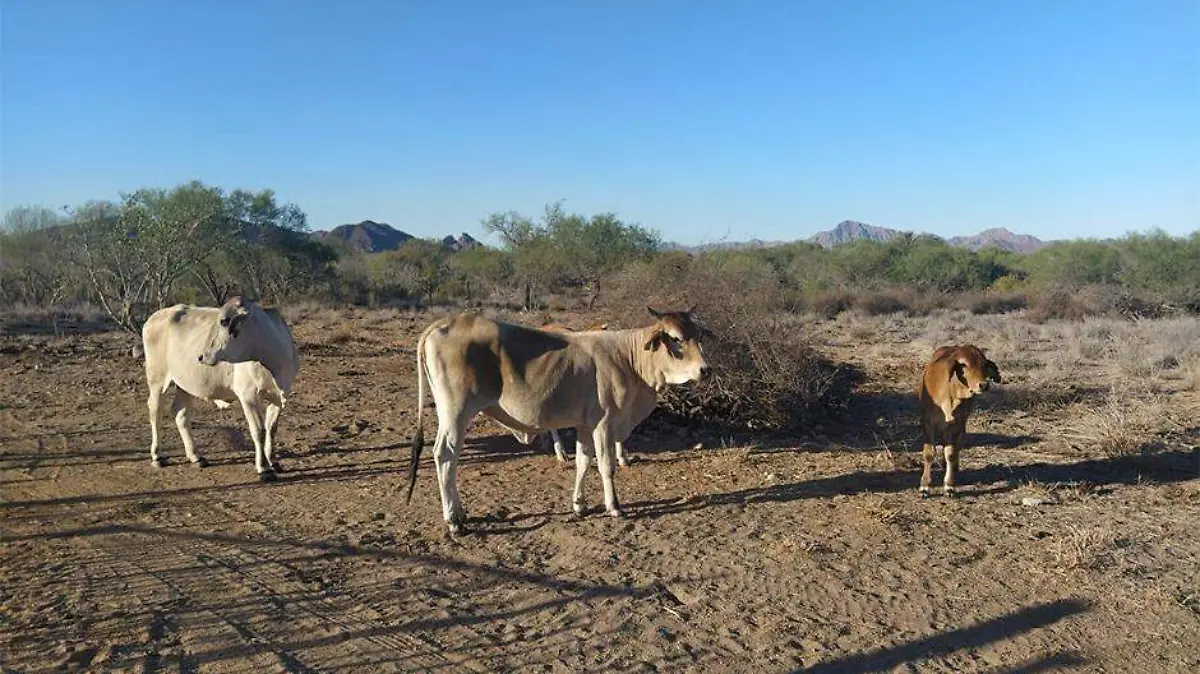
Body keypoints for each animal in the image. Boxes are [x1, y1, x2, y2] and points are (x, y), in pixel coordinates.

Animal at [141, 293, 300, 477]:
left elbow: (271, 429)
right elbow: (258, 431)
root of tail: (155, 317)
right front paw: (263, 467)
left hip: (185, 384)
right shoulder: (248, 396)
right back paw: (157, 456)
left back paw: (195, 456)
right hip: (157, 378)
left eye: (224, 321)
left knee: (180, 414)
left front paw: (273, 461)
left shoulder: (279, 396)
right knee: (155, 410)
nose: (202, 356)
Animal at [410, 304, 710, 530]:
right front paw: (614, 506)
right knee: (445, 456)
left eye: (697, 336)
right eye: (675, 339)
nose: (705, 370)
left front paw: (579, 504)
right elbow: (606, 466)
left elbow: (583, 462)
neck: (629, 358)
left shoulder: (585, 425)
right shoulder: (605, 424)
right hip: (455, 413)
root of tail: (442, 324)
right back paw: (454, 519)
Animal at [916, 342, 1003, 496]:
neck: (951, 393)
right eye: (963, 364)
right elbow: (929, 453)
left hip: (962, 424)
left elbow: (950, 453)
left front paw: (949, 485)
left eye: (984, 364)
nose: (983, 385)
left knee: (956, 449)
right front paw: (924, 486)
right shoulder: (927, 422)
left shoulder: (955, 425)